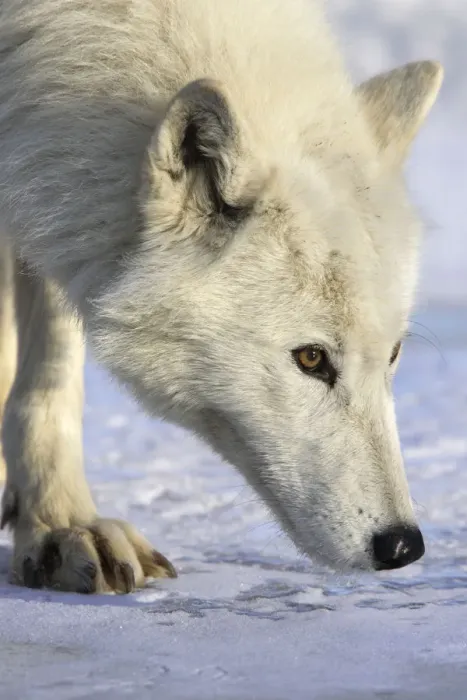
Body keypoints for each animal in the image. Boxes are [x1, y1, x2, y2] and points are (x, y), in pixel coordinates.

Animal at [0, 0, 443, 593]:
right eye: (311, 359)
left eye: (393, 355)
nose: (402, 545)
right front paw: (59, 523)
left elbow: (52, 359)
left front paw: (55, 518)